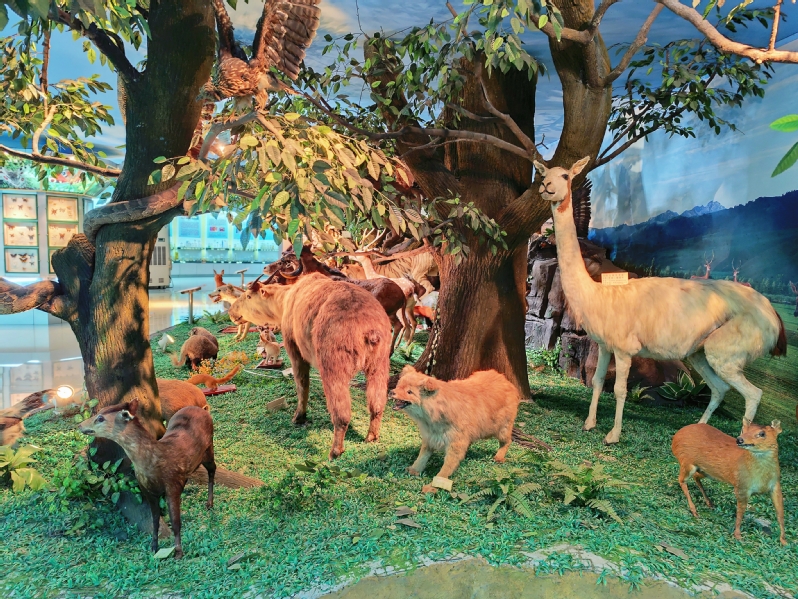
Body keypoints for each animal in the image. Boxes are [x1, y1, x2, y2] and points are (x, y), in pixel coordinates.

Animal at [535, 157, 787, 445]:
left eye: (565, 176)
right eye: (543, 173)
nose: (546, 187)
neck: (597, 293)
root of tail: (774, 317)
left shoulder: (624, 349)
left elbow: (620, 389)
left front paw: (613, 435)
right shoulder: (605, 346)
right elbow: (597, 381)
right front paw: (589, 424)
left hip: (724, 355)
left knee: (753, 394)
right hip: (700, 354)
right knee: (720, 388)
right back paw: (698, 431)